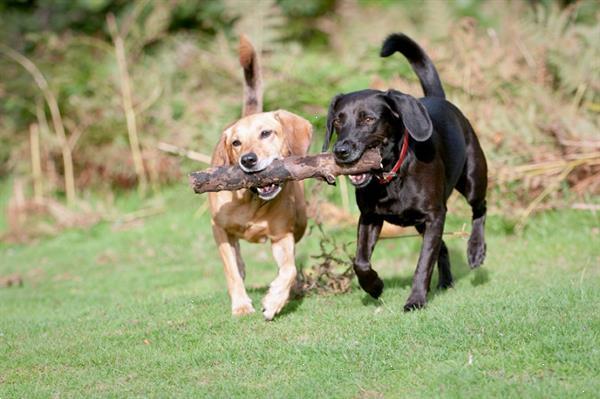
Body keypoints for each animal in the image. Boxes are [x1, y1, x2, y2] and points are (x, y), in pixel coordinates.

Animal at [324, 32, 488, 310]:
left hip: (472, 179)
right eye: (338, 120)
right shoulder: (369, 217)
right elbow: (361, 261)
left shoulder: (434, 216)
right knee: (443, 247)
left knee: (480, 207)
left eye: (368, 119)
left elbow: (423, 263)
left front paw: (415, 300)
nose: (341, 151)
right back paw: (445, 283)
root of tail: (441, 100)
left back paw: (475, 250)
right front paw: (375, 285)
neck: (391, 176)